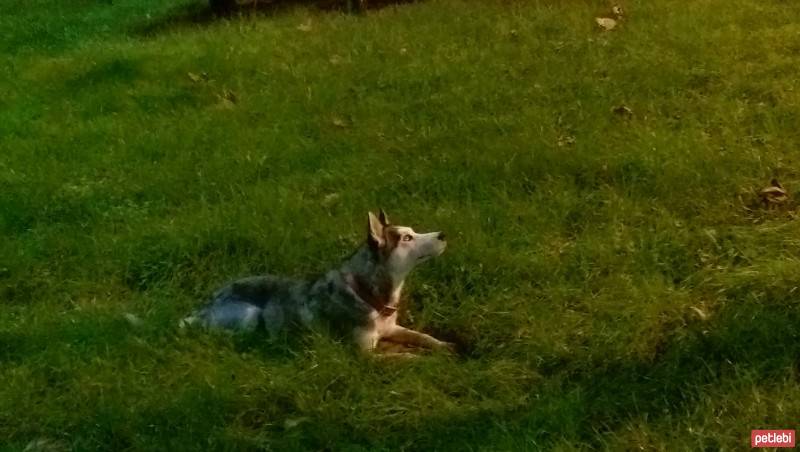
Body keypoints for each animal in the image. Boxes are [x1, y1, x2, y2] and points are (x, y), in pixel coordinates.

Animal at [183, 210, 456, 354]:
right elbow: (404, 360)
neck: (366, 292)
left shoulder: (392, 329)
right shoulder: (363, 356)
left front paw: (446, 346)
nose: (443, 234)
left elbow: (423, 337)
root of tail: (204, 306)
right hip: (250, 314)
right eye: (407, 238)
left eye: (413, 231)